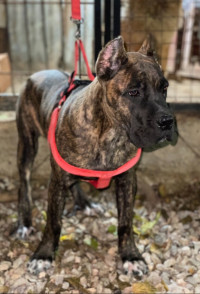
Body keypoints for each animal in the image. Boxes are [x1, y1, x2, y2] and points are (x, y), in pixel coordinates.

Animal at [15, 36, 175, 276]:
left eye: (164, 88)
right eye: (133, 92)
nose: (167, 121)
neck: (110, 132)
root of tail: (38, 73)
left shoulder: (127, 181)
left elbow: (125, 222)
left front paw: (131, 256)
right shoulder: (56, 182)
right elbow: (53, 222)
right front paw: (43, 255)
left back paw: (84, 203)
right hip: (27, 145)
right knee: (24, 184)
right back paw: (25, 223)